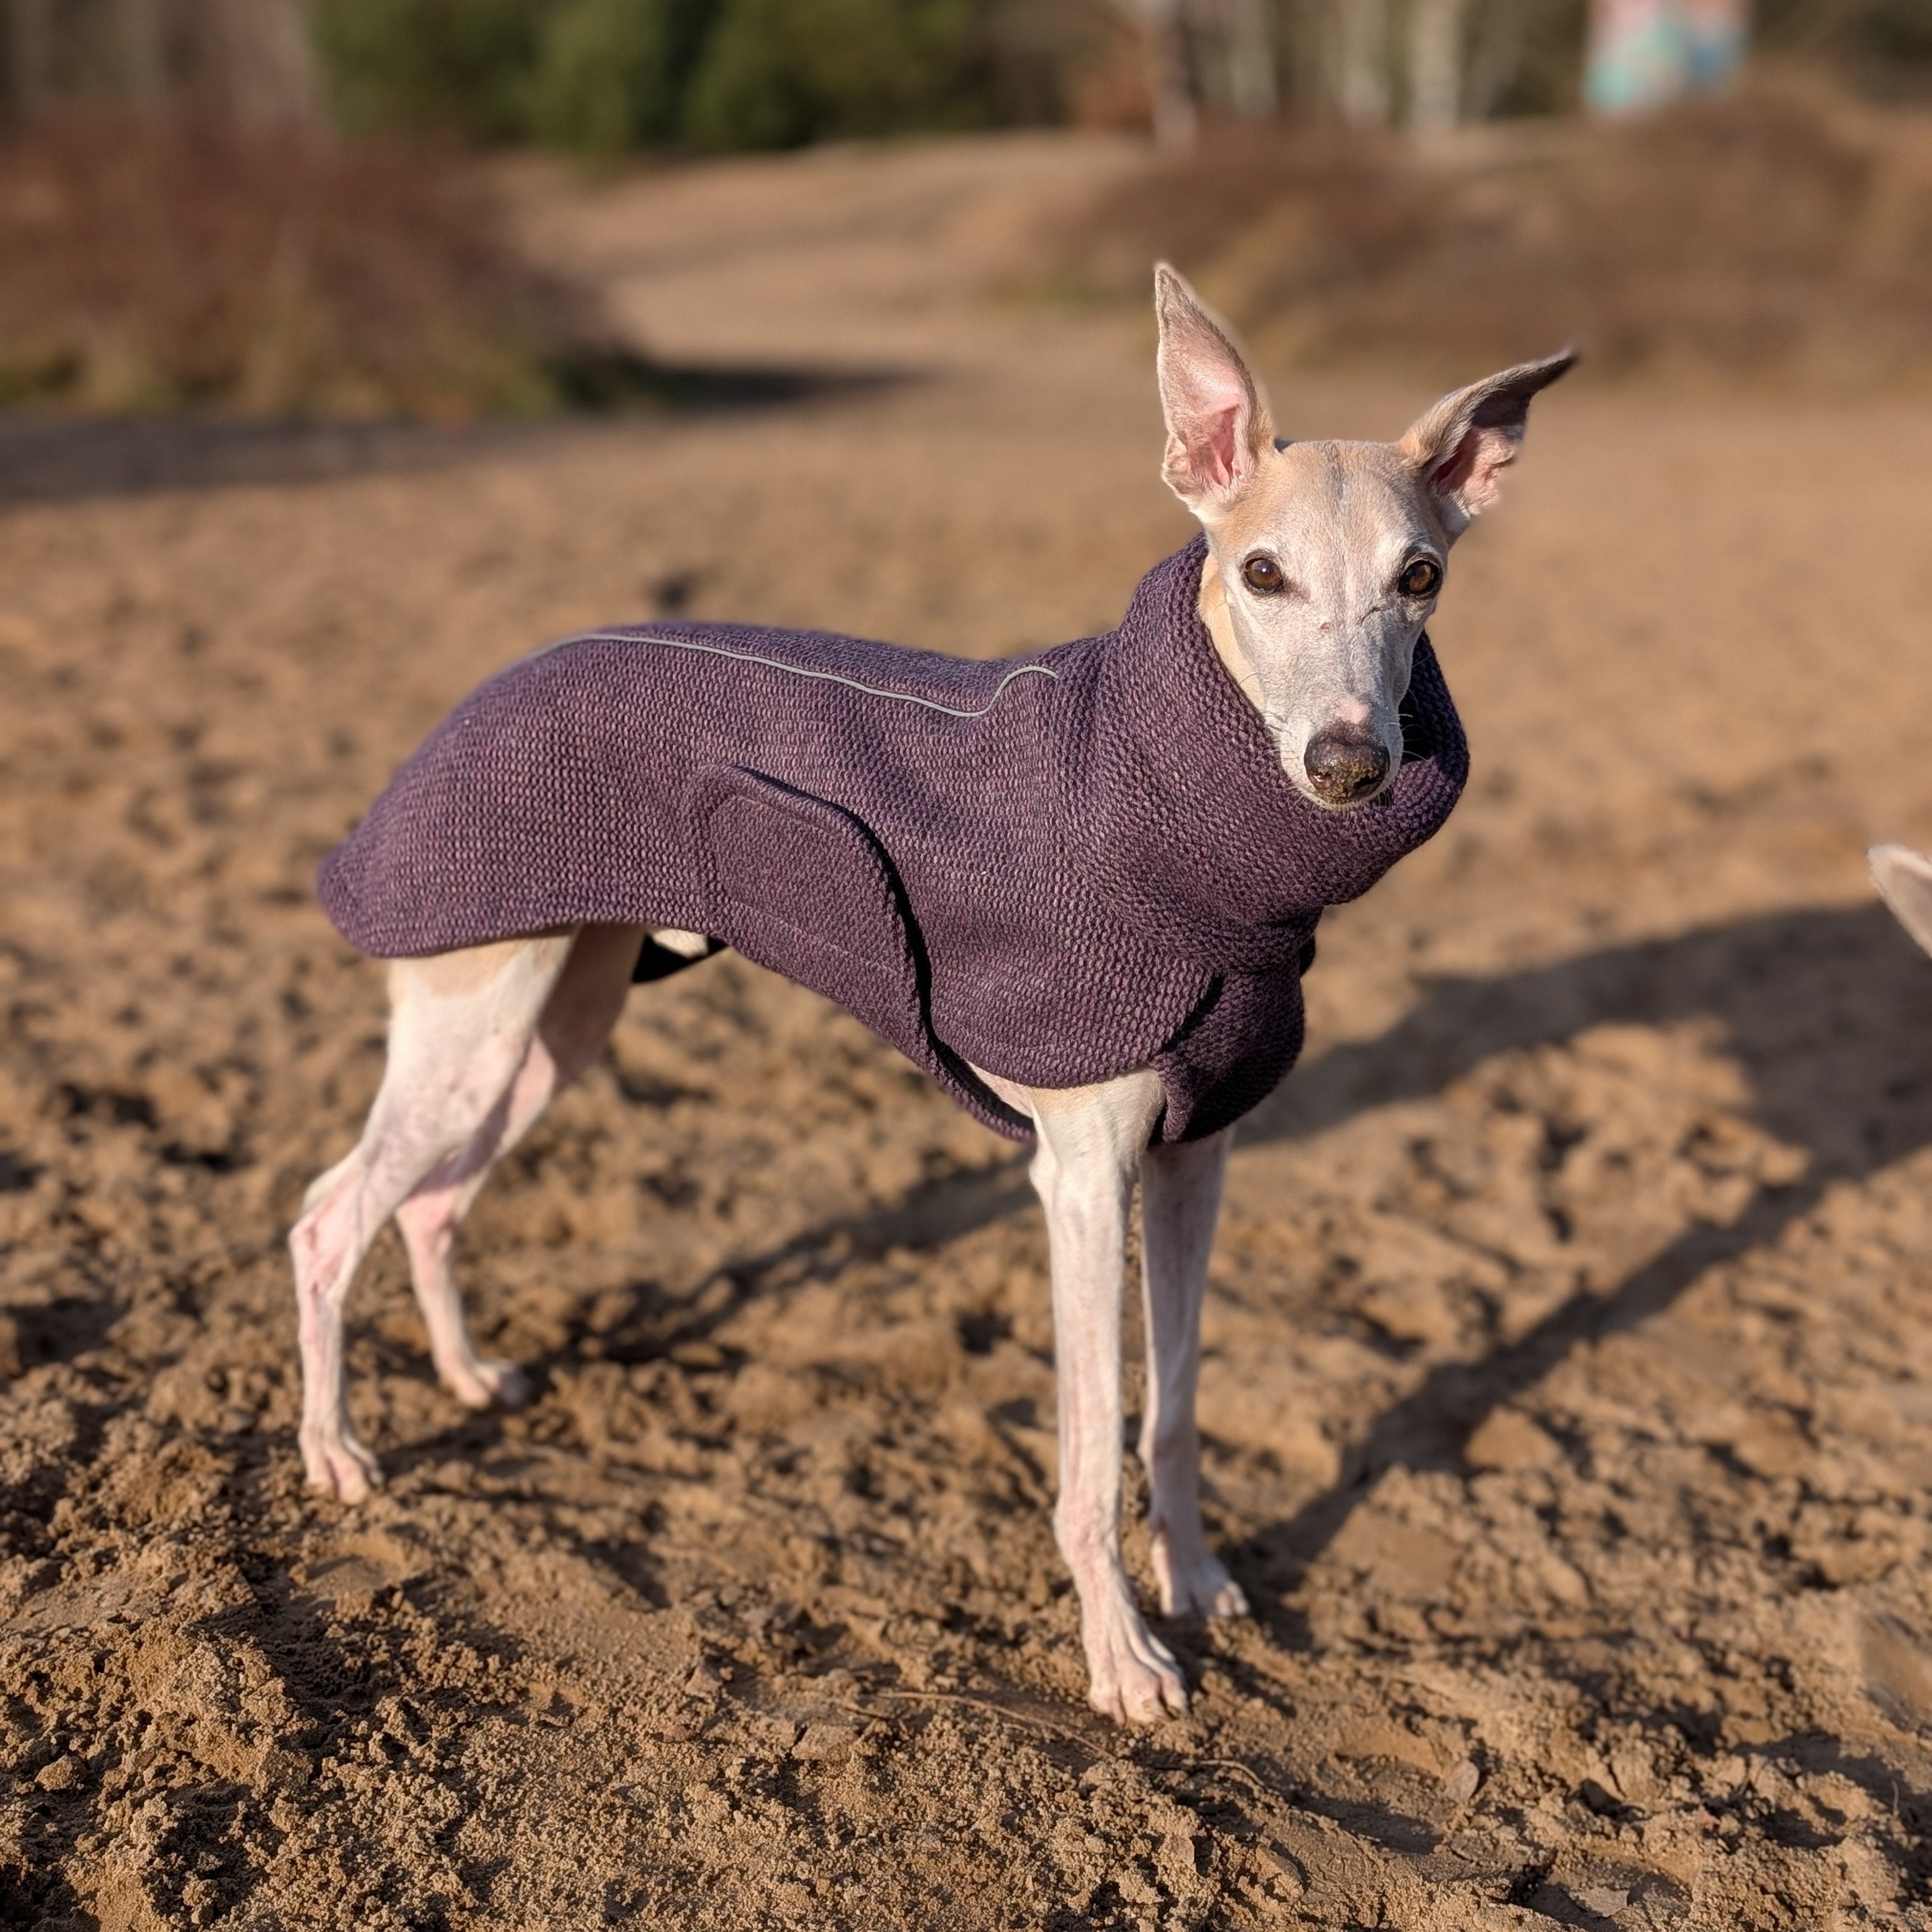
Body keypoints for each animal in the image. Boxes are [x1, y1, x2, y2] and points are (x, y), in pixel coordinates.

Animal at [291, 265, 1572, 1723]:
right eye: (1262, 571)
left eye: (1421, 577)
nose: (1349, 766)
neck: (1170, 815)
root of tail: (470, 697)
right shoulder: (1081, 1174)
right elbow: (1089, 1444)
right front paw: (1123, 1657)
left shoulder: (1198, 1159)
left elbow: (1174, 1409)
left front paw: (1197, 1583)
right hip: (474, 1023)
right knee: (330, 1218)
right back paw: (336, 1452)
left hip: (557, 1021)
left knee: (431, 1205)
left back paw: (465, 1375)